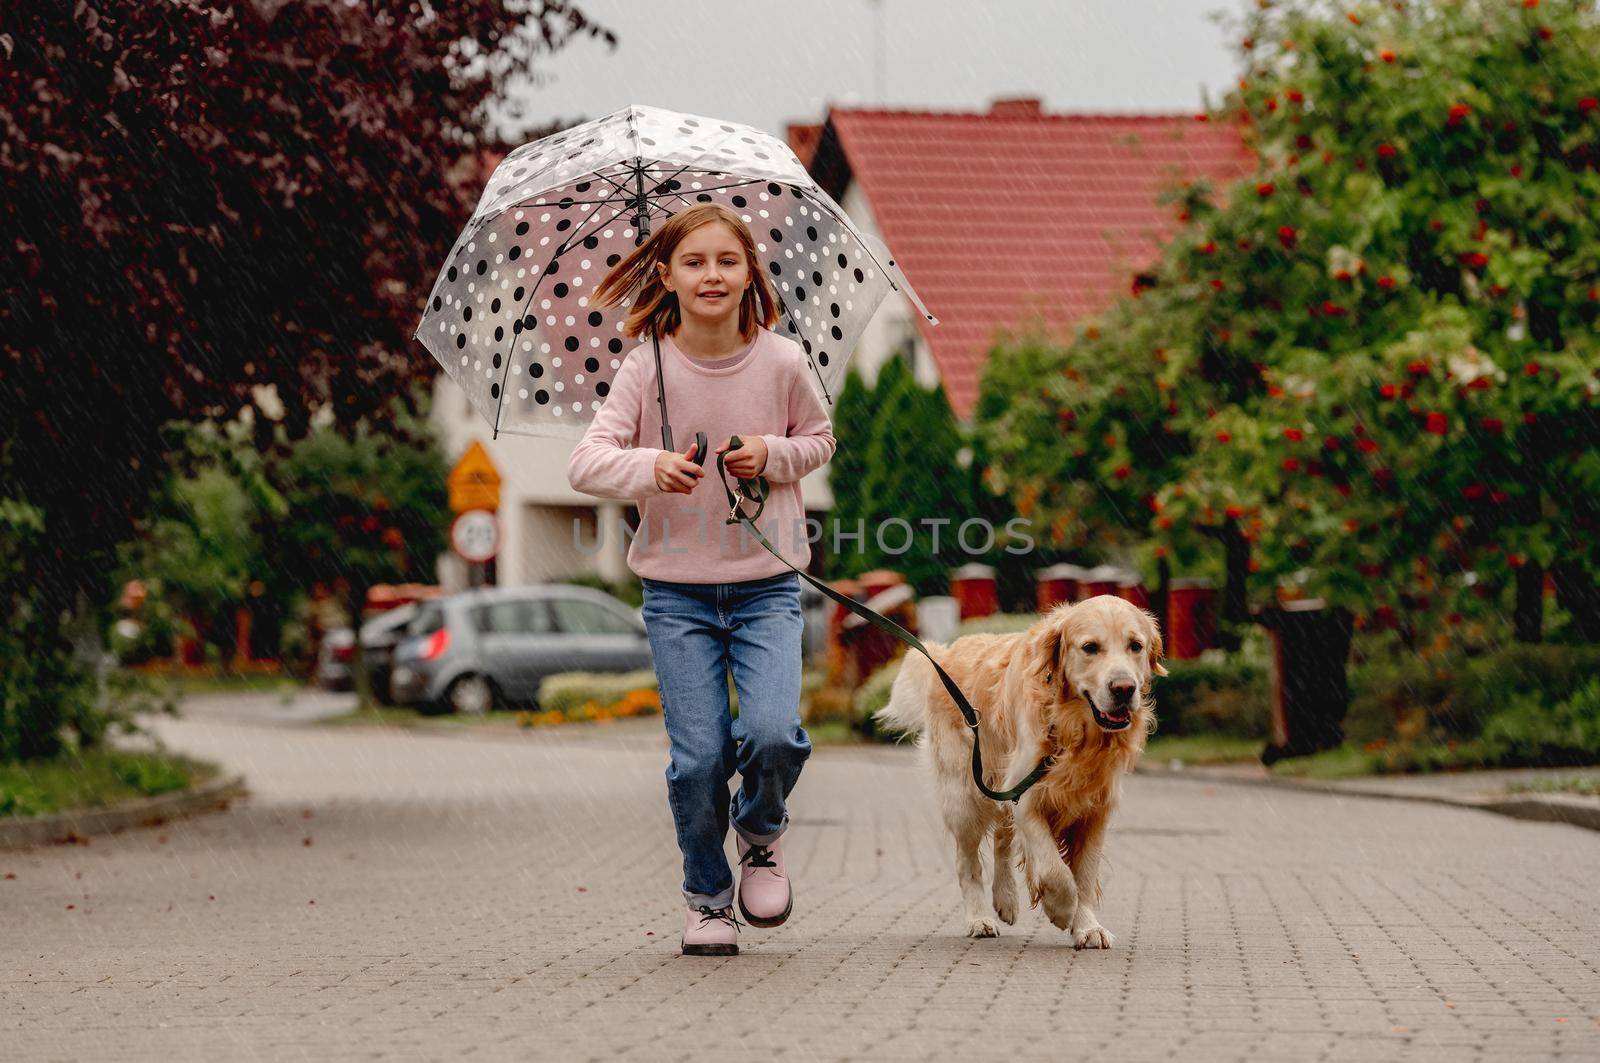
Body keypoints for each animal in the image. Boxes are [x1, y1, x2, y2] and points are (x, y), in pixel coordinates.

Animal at [870, 592, 1171, 947]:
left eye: (1135, 646)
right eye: (1090, 647)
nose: (1124, 688)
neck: (1073, 730)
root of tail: (946, 652)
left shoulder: (1096, 808)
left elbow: (1084, 874)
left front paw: (1087, 926)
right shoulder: (1027, 793)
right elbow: (1055, 869)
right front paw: (1061, 909)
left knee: (1002, 840)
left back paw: (1006, 899)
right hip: (964, 794)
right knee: (967, 862)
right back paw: (980, 919)